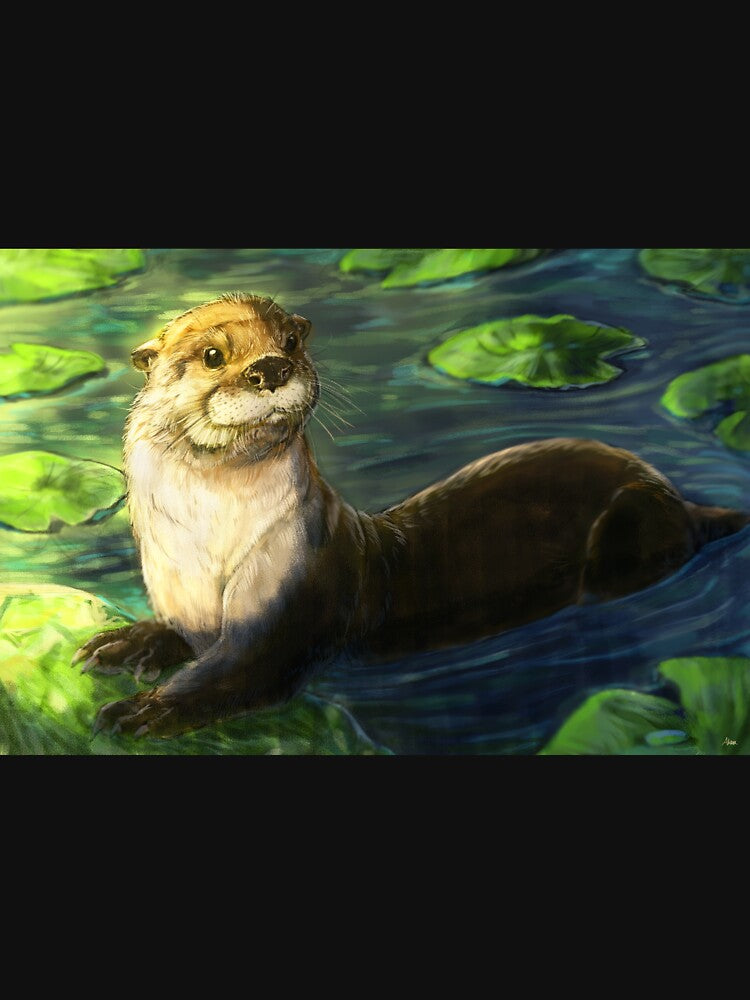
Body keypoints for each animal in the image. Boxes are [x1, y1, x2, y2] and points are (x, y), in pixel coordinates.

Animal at [73, 293, 750, 739]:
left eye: (290, 342)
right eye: (213, 354)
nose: (271, 368)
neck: (207, 546)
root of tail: (678, 496)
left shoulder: (294, 601)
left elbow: (238, 673)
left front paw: (144, 710)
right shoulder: (179, 592)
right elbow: (177, 634)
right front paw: (125, 642)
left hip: (630, 522)